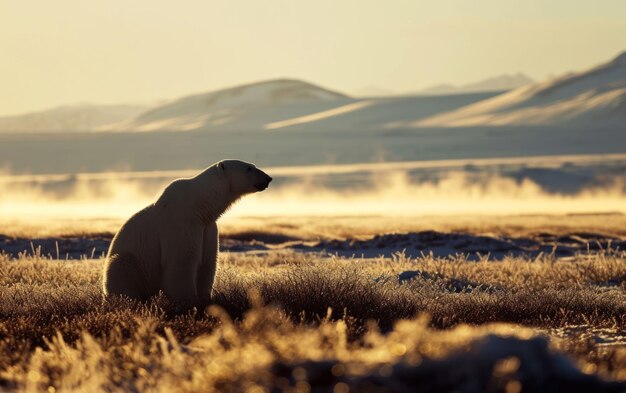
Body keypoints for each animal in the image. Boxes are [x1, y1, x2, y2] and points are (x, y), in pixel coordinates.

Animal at [102, 159, 270, 306]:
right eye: (249, 168)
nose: (268, 178)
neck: (198, 206)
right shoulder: (181, 223)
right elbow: (182, 261)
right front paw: (187, 301)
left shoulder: (207, 228)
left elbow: (207, 263)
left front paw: (205, 299)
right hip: (133, 262)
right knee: (121, 269)